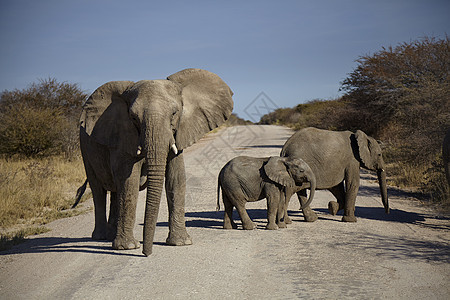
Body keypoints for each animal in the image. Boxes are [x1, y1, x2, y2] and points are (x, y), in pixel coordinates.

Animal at [79, 68, 234, 255]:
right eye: (133, 117)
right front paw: (128, 247)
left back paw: (110, 236)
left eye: (174, 113)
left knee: (115, 192)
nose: (147, 253)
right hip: (84, 148)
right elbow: (129, 183)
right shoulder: (124, 136)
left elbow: (176, 179)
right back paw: (102, 237)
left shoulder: (178, 134)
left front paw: (181, 243)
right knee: (98, 190)